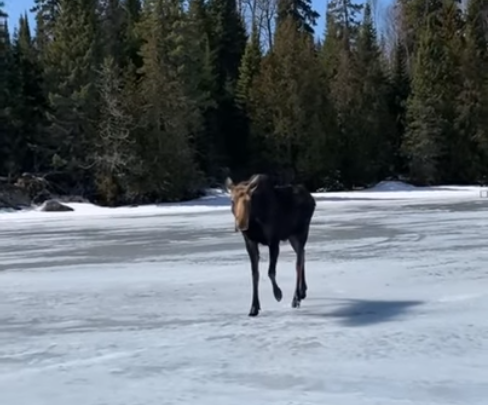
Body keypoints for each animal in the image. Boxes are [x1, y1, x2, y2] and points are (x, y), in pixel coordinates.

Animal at [225, 173, 316, 316]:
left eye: (249, 200)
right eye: (232, 200)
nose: (241, 225)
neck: (255, 222)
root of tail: (312, 199)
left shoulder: (273, 240)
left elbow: (270, 272)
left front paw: (278, 294)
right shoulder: (250, 241)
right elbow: (255, 274)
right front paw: (254, 307)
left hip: (301, 232)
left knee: (298, 262)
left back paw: (295, 298)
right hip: (292, 236)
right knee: (302, 254)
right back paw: (302, 292)